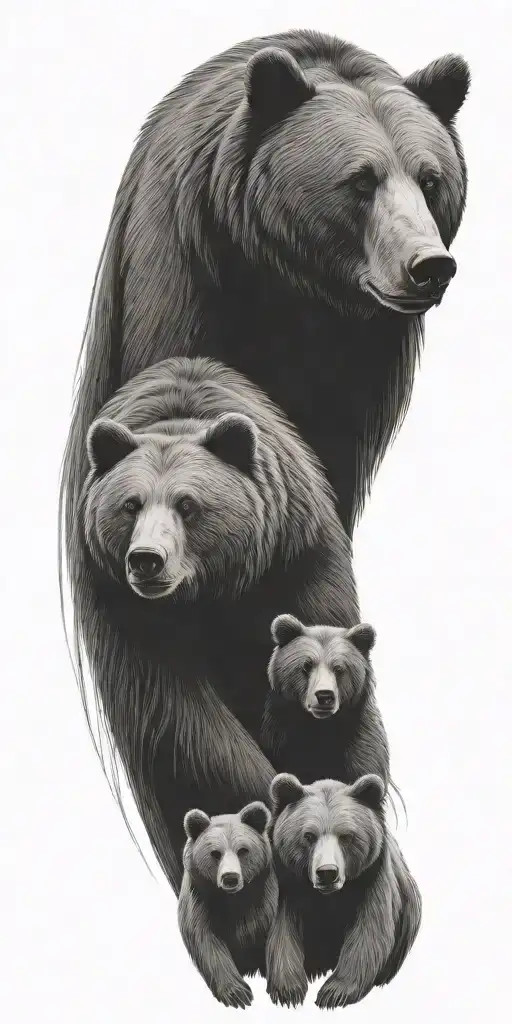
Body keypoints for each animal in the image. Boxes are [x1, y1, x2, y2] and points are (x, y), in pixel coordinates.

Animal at [61, 28, 470, 557]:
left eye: (430, 179)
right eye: (361, 179)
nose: (430, 266)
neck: (298, 282)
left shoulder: (368, 362)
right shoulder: (184, 278)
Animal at [178, 800, 278, 1008]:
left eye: (243, 850)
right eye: (215, 853)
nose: (230, 878)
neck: (233, 899)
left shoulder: (265, 900)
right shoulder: (199, 900)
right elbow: (205, 941)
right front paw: (238, 994)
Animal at [266, 772, 422, 1009]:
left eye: (347, 836)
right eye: (308, 835)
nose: (327, 872)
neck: (329, 897)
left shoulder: (372, 878)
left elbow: (369, 932)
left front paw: (334, 992)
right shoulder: (289, 884)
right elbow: (283, 930)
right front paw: (288, 990)